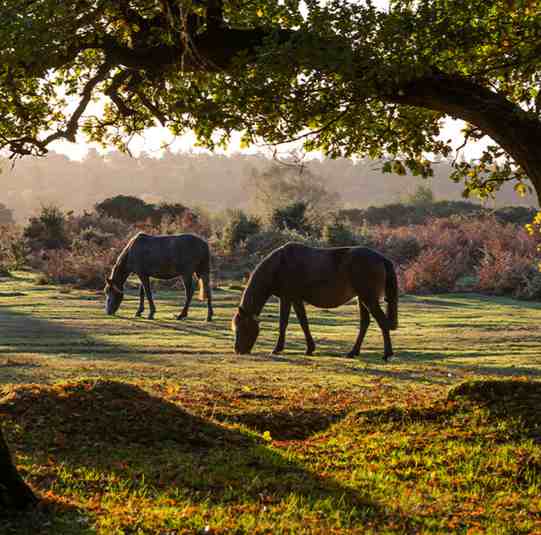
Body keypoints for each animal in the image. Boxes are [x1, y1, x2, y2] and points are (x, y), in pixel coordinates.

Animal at [231, 243, 396, 360]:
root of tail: (381, 258)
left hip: (368, 299)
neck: (279, 265)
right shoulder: (294, 299)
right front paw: (310, 348)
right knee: (365, 324)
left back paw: (386, 354)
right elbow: (302, 322)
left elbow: (286, 323)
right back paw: (353, 352)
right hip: (362, 299)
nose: (238, 350)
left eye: (242, 328)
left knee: (382, 322)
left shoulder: (288, 298)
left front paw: (277, 349)